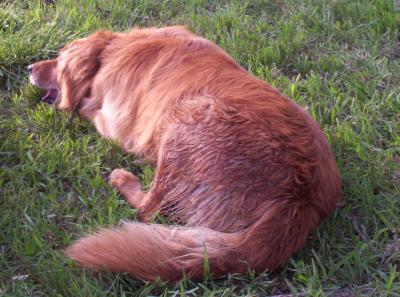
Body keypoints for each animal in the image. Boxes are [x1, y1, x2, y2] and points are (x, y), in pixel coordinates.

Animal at [28, 25, 342, 280]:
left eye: (59, 58)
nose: (30, 67)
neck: (111, 51)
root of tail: (298, 198)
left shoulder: (114, 121)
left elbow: (89, 111)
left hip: (184, 123)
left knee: (149, 208)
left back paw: (122, 179)